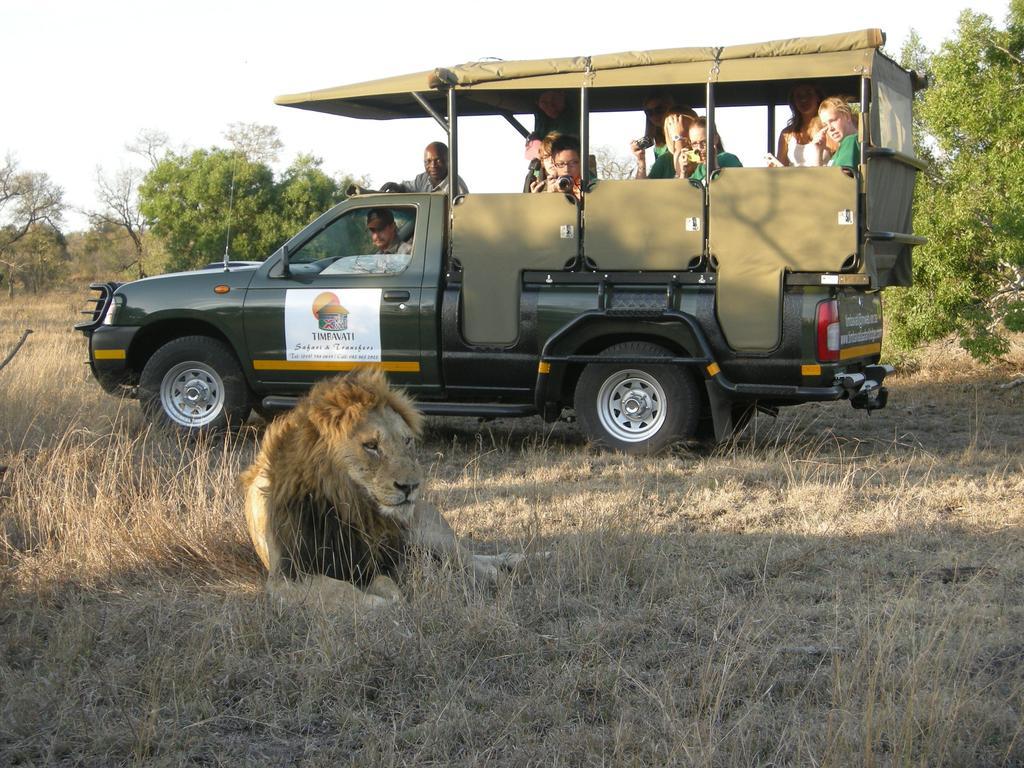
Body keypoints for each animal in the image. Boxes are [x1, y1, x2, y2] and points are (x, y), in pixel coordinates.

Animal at [240, 366, 520, 614]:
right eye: (371, 445)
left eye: (407, 441)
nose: (410, 487)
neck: (346, 507)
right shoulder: (286, 575)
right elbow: (343, 591)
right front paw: (386, 603)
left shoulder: (368, 563)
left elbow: (380, 586)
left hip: (427, 533)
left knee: (475, 562)